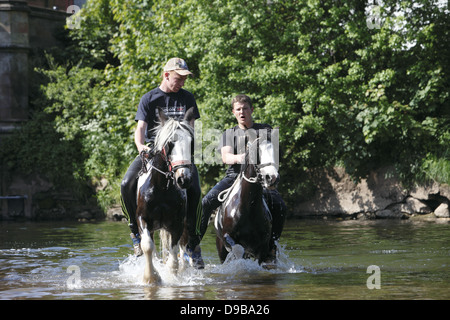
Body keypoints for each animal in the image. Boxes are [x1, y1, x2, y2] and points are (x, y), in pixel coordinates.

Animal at [136, 108, 194, 282]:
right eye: (170, 144)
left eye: (191, 143)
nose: (183, 179)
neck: (162, 188)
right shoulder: (142, 218)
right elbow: (148, 246)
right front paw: (151, 278)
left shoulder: (177, 223)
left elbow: (173, 256)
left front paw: (172, 277)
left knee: (183, 248)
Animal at [214, 134, 280, 264]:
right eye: (257, 151)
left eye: (275, 150)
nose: (272, 178)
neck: (249, 207)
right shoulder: (229, 238)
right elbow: (237, 249)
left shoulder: (262, 247)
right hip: (221, 250)